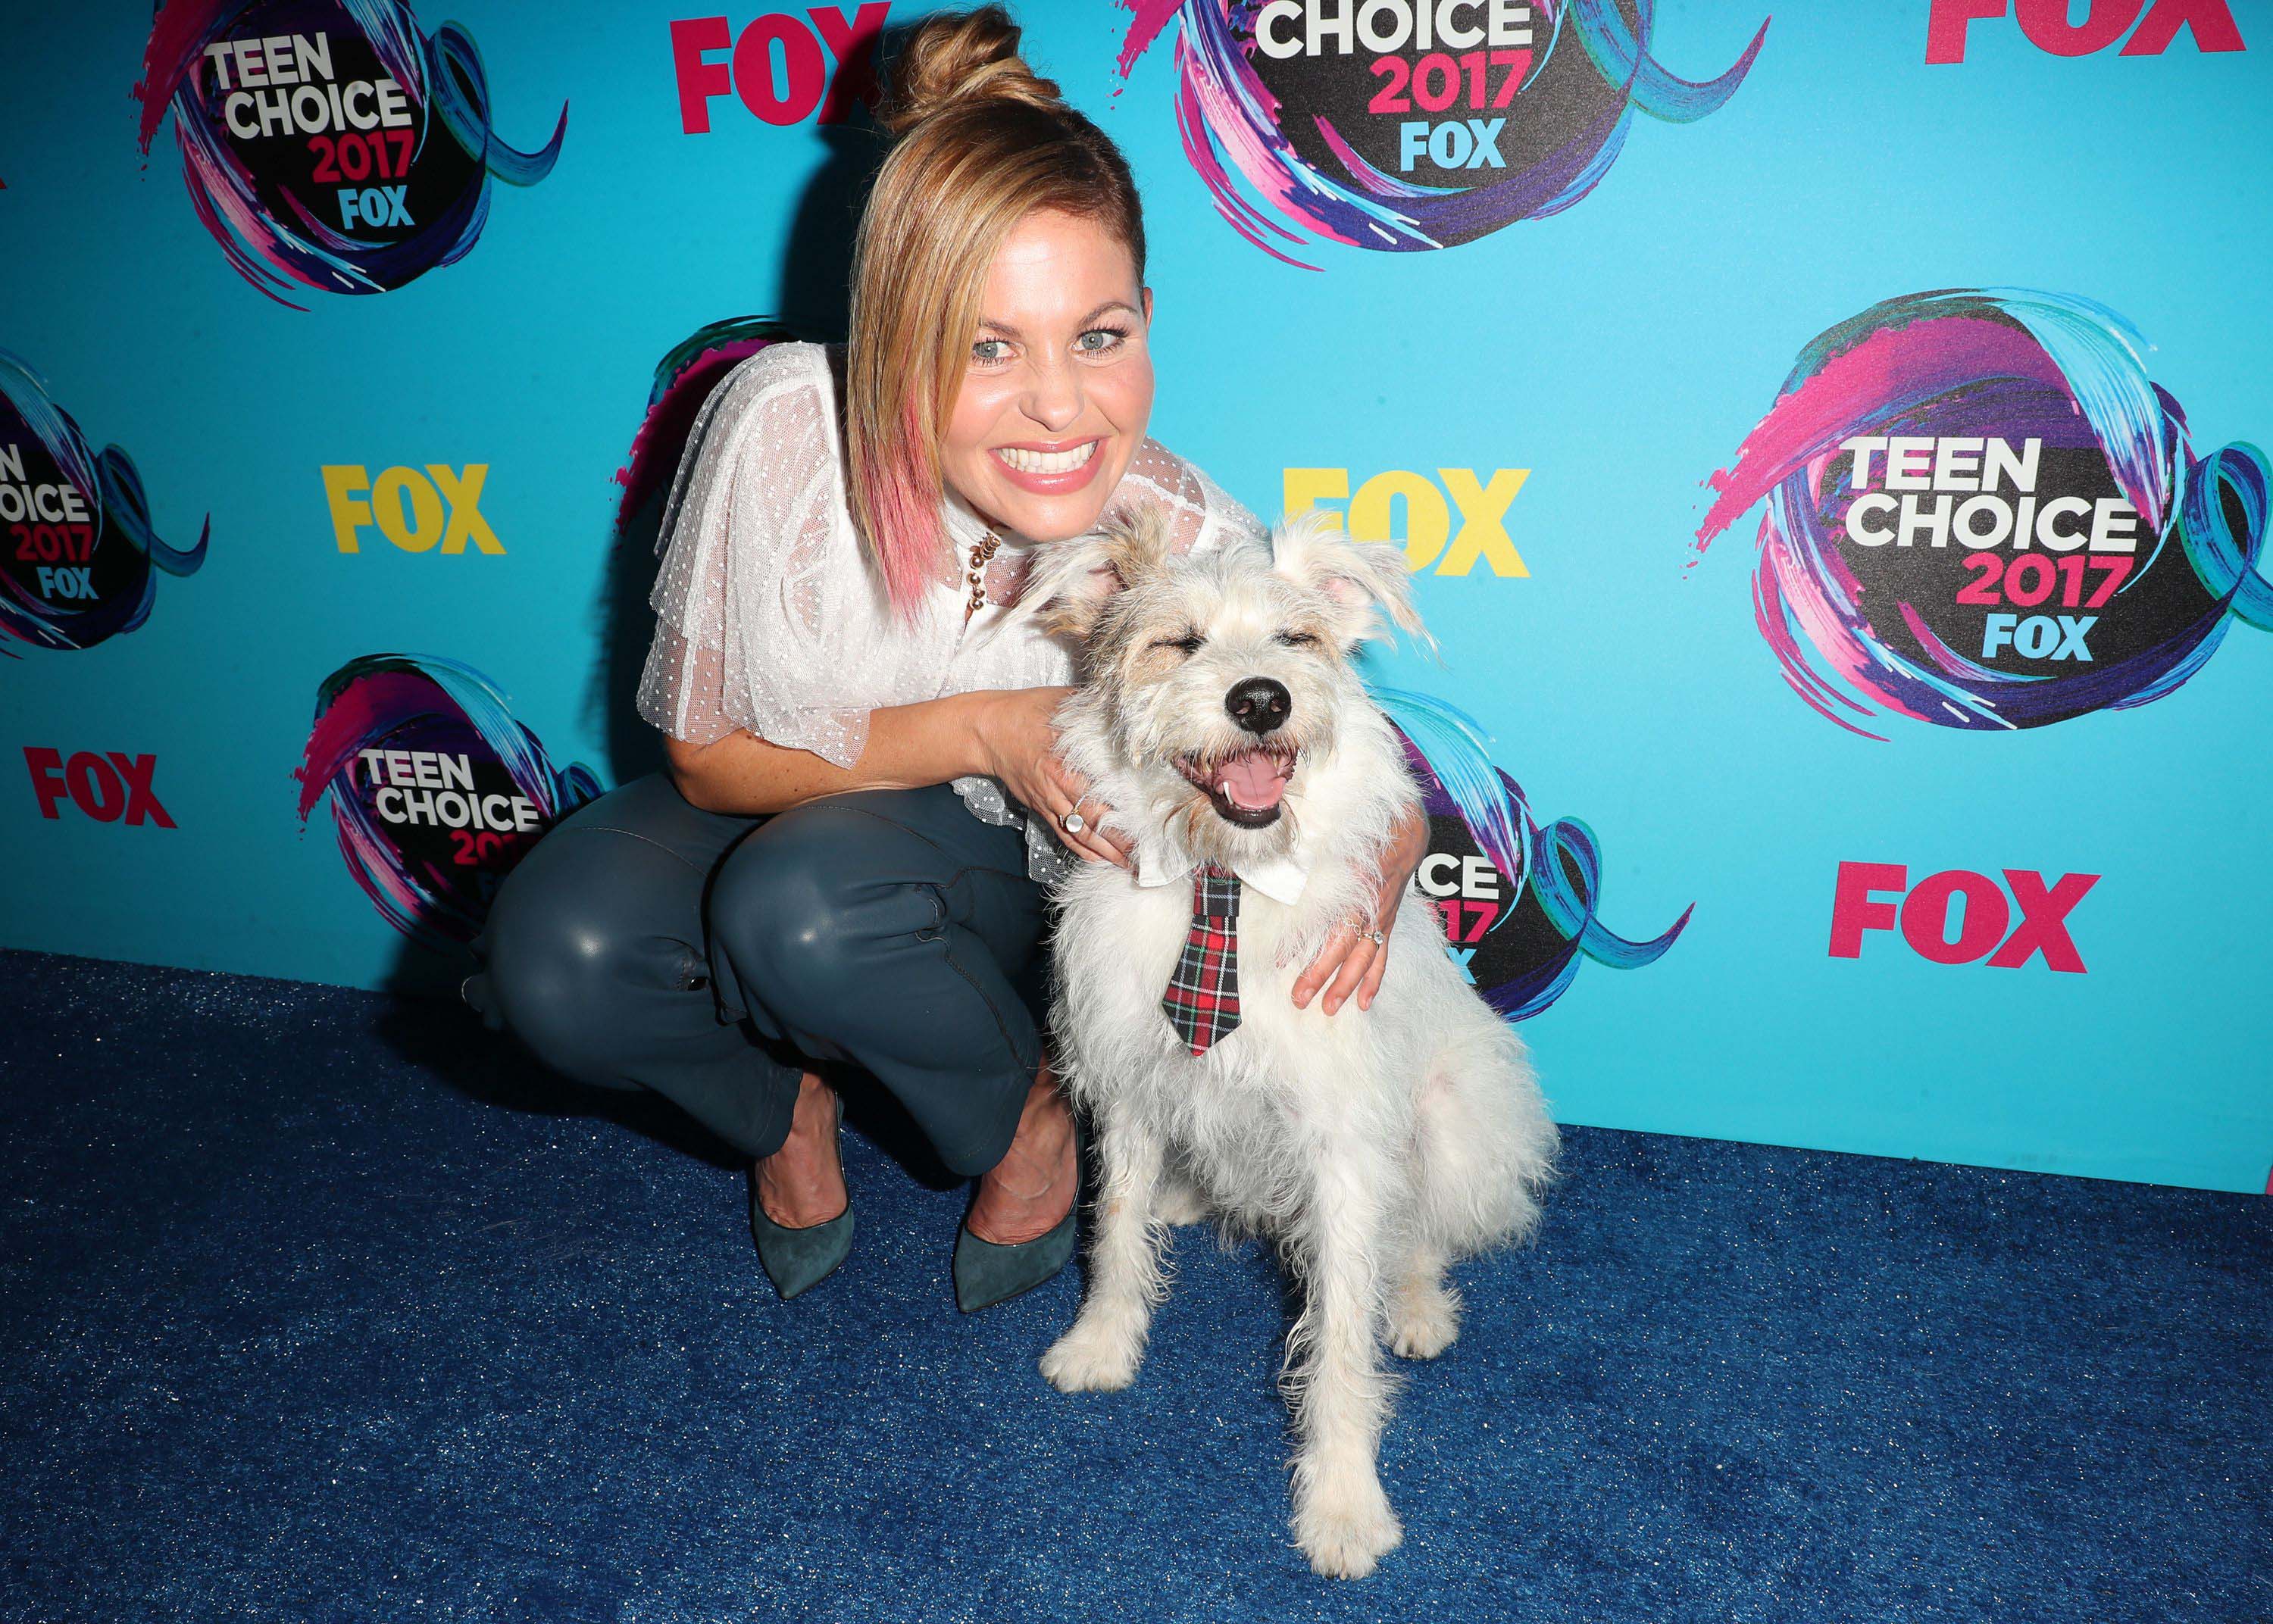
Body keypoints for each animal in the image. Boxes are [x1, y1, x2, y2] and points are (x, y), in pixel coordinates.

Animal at [1023, 504, 1555, 1572]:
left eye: (1297, 639)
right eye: (1179, 642)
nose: (1262, 698)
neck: (1225, 882)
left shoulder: (1344, 1145)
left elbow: (1341, 1335)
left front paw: (1343, 1502)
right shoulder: (1130, 1084)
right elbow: (1113, 1232)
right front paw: (1103, 1344)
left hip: (1454, 1118)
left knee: (1424, 1233)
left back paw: (1419, 1305)